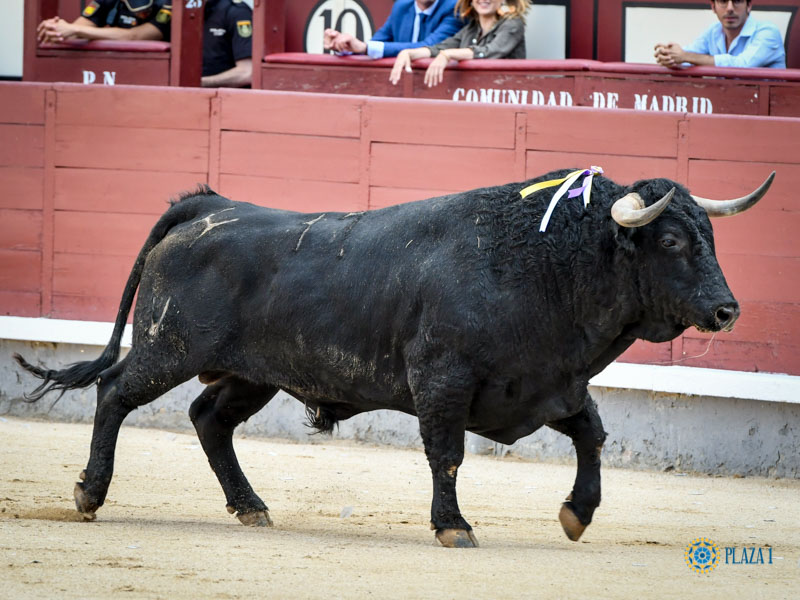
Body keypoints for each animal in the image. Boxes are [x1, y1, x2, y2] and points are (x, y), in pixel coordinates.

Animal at [14, 169, 776, 548]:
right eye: (673, 242)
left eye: (710, 238)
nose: (726, 310)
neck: (545, 264)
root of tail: (206, 207)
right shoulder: (443, 381)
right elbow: (447, 454)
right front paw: (453, 527)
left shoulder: (546, 385)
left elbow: (592, 435)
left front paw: (577, 514)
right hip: (167, 347)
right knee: (115, 394)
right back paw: (89, 493)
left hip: (255, 374)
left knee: (209, 419)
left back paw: (251, 508)